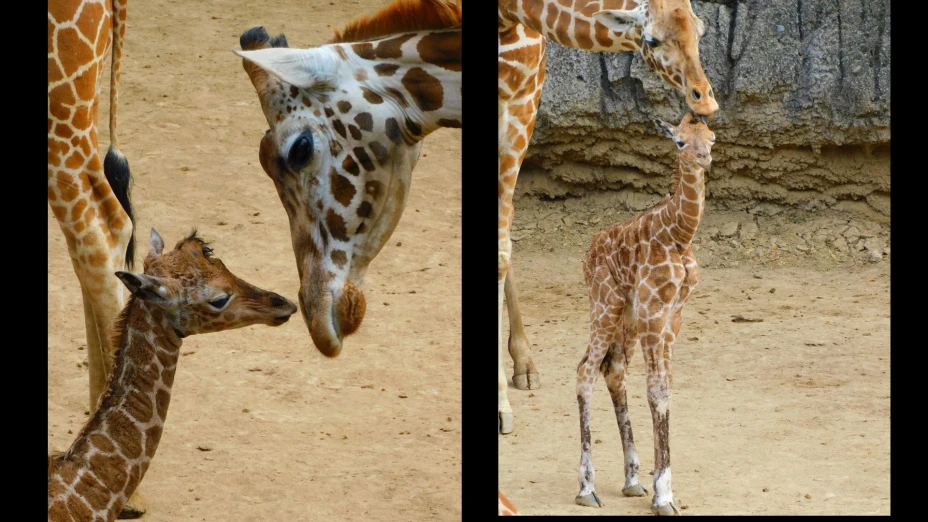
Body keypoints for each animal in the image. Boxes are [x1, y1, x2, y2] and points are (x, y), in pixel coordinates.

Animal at [497, 0, 720, 435]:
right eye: (651, 39)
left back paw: (526, 366)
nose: (705, 102)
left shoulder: (520, 104)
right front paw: (499, 406)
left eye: (701, 30)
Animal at [574, 112, 714, 515]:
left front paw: (658, 488)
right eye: (680, 141)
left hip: (627, 319)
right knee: (585, 371)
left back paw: (631, 479)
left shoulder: (674, 316)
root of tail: (588, 254)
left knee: (612, 370)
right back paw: (586, 488)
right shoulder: (654, 311)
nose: (704, 159)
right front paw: (664, 495)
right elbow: (657, 391)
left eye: (712, 138)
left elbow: (664, 388)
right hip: (604, 304)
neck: (679, 235)